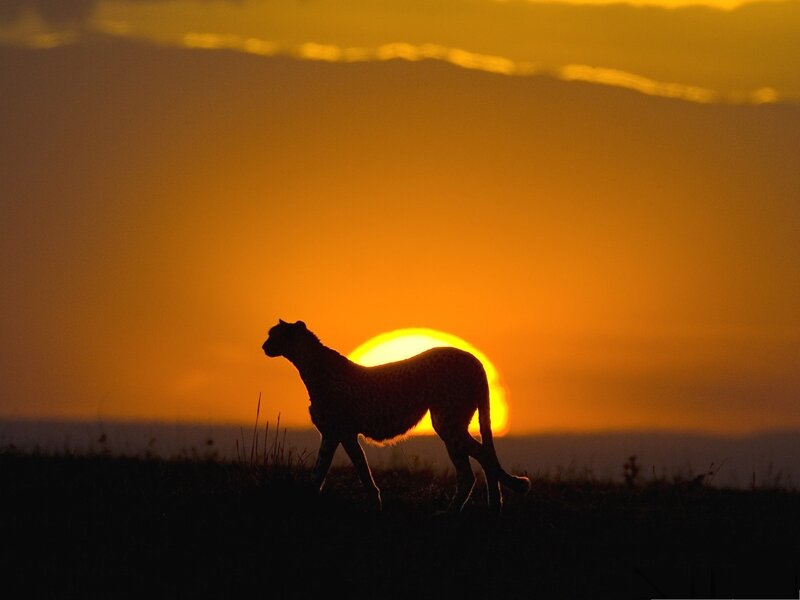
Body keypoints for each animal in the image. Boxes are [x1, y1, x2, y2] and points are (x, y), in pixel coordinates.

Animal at [262, 319, 531, 514]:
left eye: (274, 335)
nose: (264, 346)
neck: (309, 364)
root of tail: (473, 358)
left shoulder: (343, 433)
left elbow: (356, 469)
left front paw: (374, 505)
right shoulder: (334, 434)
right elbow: (325, 471)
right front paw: (311, 500)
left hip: (447, 423)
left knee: (477, 462)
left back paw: (454, 512)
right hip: (454, 423)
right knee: (478, 461)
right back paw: (491, 506)